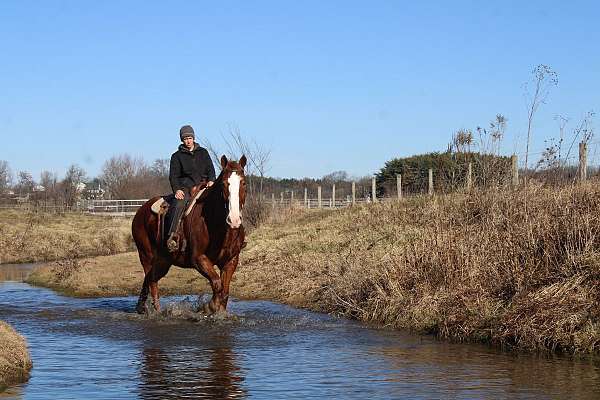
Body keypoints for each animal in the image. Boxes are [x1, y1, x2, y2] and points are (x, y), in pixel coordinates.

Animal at [132, 155, 247, 314]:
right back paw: (156, 310)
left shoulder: (231, 261)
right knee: (152, 282)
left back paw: (143, 307)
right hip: (146, 256)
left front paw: (219, 311)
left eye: (243, 183)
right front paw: (210, 306)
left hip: (163, 261)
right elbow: (217, 284)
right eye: (224, 184)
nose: (234, 220)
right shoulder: (198, 258)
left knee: (150, 279)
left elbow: (224, 291)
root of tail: (140, 212)